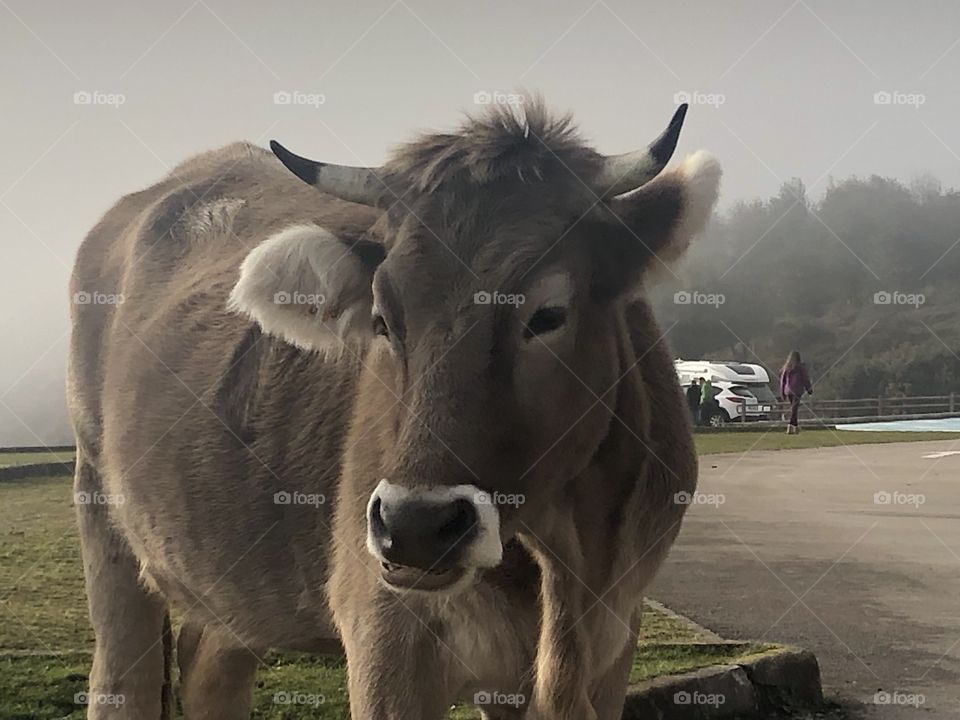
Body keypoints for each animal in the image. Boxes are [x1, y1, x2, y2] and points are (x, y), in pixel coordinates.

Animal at [67, 98, 720, 719]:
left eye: (548, 313)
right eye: (382, 319)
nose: (417, 526)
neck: (565, 564)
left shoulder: (611, 643)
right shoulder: (385, 640)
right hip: (101, 510)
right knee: (121, 678)